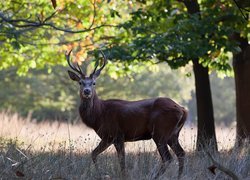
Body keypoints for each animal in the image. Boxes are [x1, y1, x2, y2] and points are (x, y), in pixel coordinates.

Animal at [66, 50, 188, 178]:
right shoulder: (111, 137)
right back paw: (179, 176)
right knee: (181, 153)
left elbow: (120, 160)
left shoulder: (115, 134)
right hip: (173, 134)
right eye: (80, 82)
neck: (99, 114)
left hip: (160, 132)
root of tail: (182, 110)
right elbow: (94, 154)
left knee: (168, 158)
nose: (87, 91)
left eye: (94, 83)